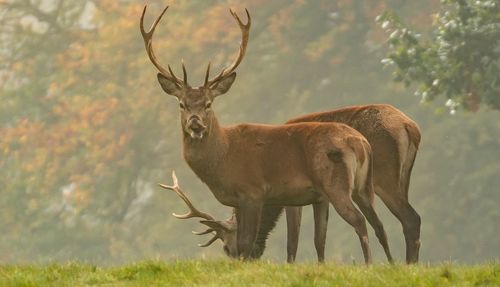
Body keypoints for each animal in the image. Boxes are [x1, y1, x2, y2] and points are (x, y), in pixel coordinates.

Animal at [140, 6, 390, 264]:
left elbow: (248, 243)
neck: (223, 159)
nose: (195, 123)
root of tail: (360, 143)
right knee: (379, 224)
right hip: (363, 186)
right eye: (181, 104)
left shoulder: (253, 192)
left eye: (209, 104)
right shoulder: (292, 199)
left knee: (360, 221)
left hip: (336, 184)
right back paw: (391, 263)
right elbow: (316, 240)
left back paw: (369, 264)